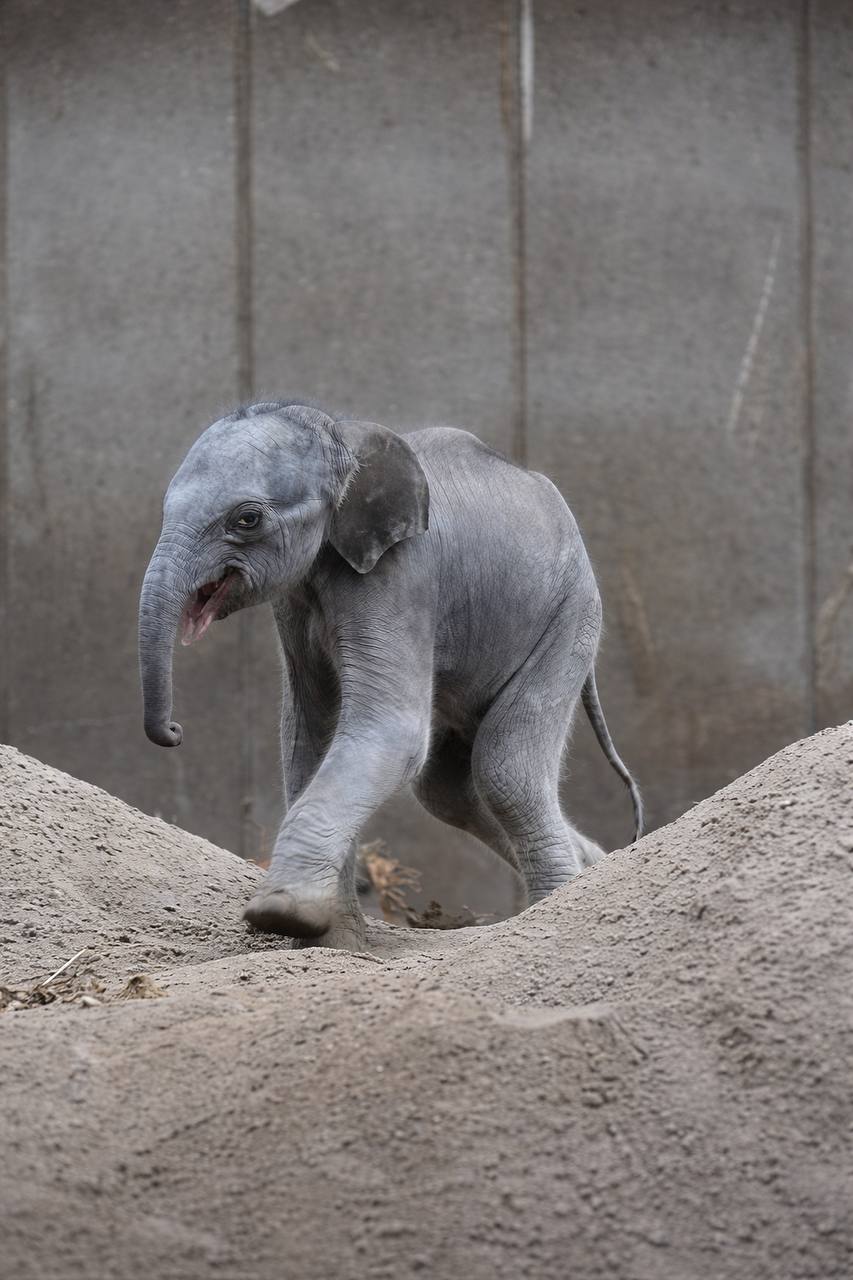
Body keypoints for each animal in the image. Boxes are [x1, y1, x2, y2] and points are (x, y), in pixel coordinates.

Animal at [139, 400, 642, 950]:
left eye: (247, 519)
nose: (174, 732)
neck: (340, 435)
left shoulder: (401, 574)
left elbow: (390, 730)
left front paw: (281, 913)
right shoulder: (294, 600)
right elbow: (308, 739)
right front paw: (330, 943)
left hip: (570, 619)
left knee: (505, 770)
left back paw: (559, 905)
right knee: (446, 790)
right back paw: (598, 867)